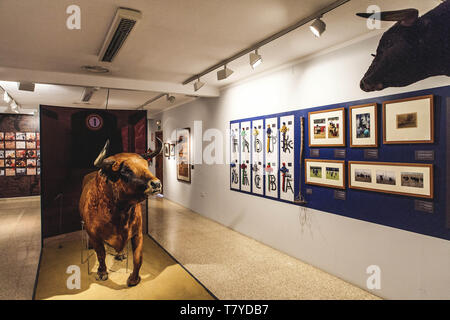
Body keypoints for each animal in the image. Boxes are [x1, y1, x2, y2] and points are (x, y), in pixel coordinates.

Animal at [80, 139, 163, 286]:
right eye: (126, 170)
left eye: (146, 165)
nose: (156, 184)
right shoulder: (95, 236)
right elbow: (101, 254)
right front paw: (102, 273)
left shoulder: (137, 233)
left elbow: (138, 257)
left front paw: (134, 279)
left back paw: (121, 254)